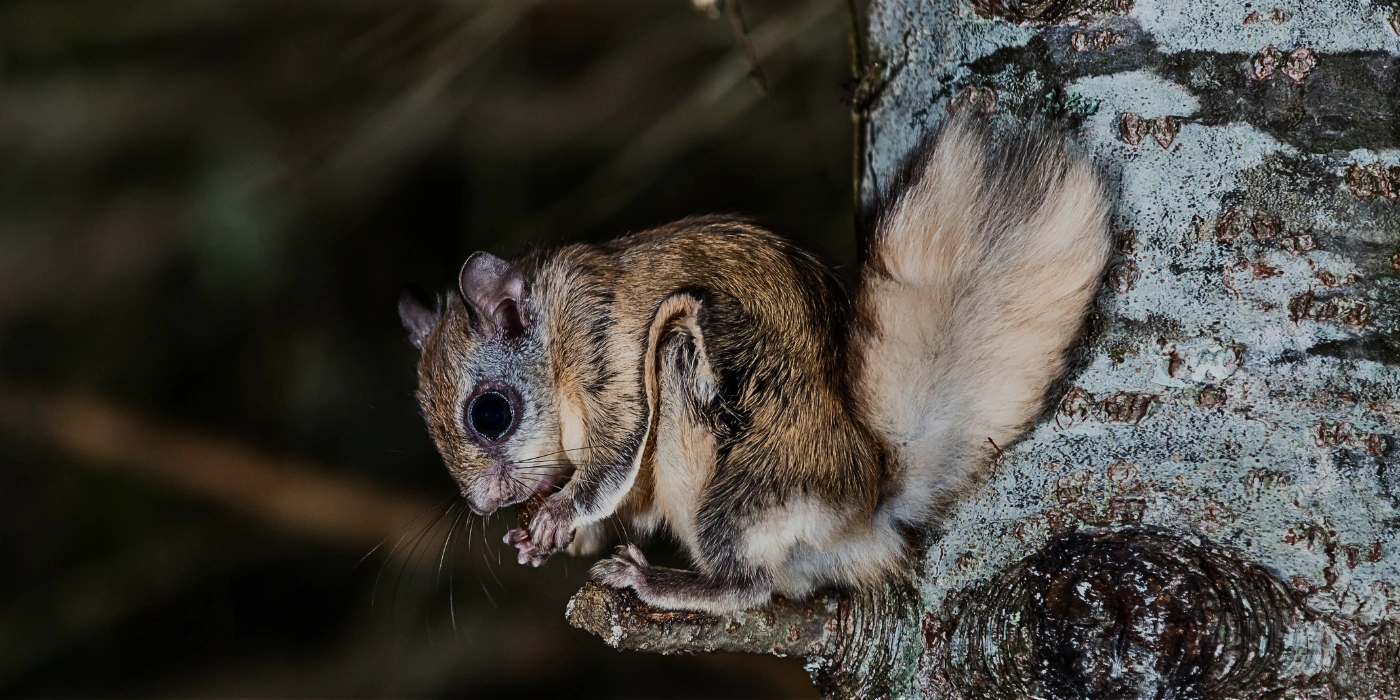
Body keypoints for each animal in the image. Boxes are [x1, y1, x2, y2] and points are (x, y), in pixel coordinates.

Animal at [397, 113, 1110, 614]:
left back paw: (661, 581)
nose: (482, 506)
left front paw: (559, 515)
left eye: (491, 414)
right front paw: (548, 539)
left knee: (752, 588)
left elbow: (615, 455)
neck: (550, 332)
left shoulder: (604, 351)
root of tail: (864, 512)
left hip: (732, 477)